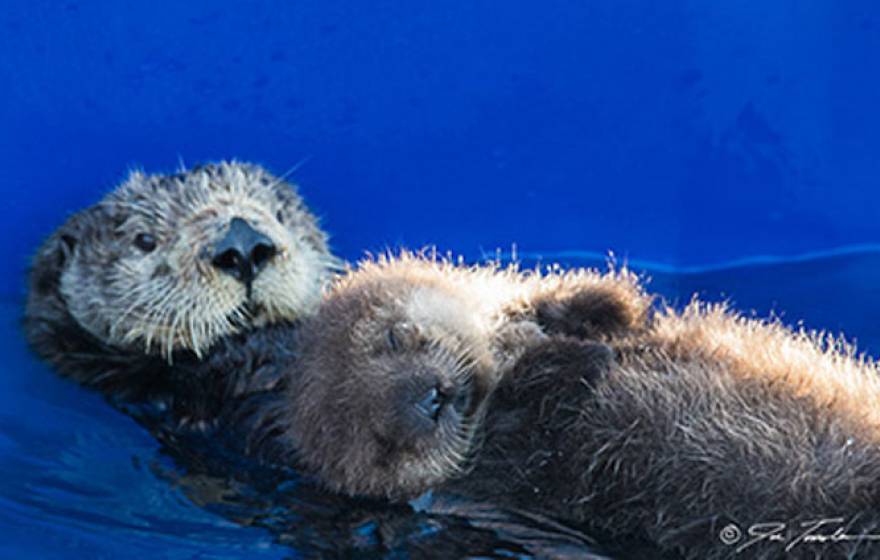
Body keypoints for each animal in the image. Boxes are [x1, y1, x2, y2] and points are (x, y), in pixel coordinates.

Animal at [266, 254, 880, 560]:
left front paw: (588, 314)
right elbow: (537, 429)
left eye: (392, 338)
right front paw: (577, 359)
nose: (430, 398)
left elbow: (603, 305)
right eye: (383, 444)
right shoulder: (502, 479)